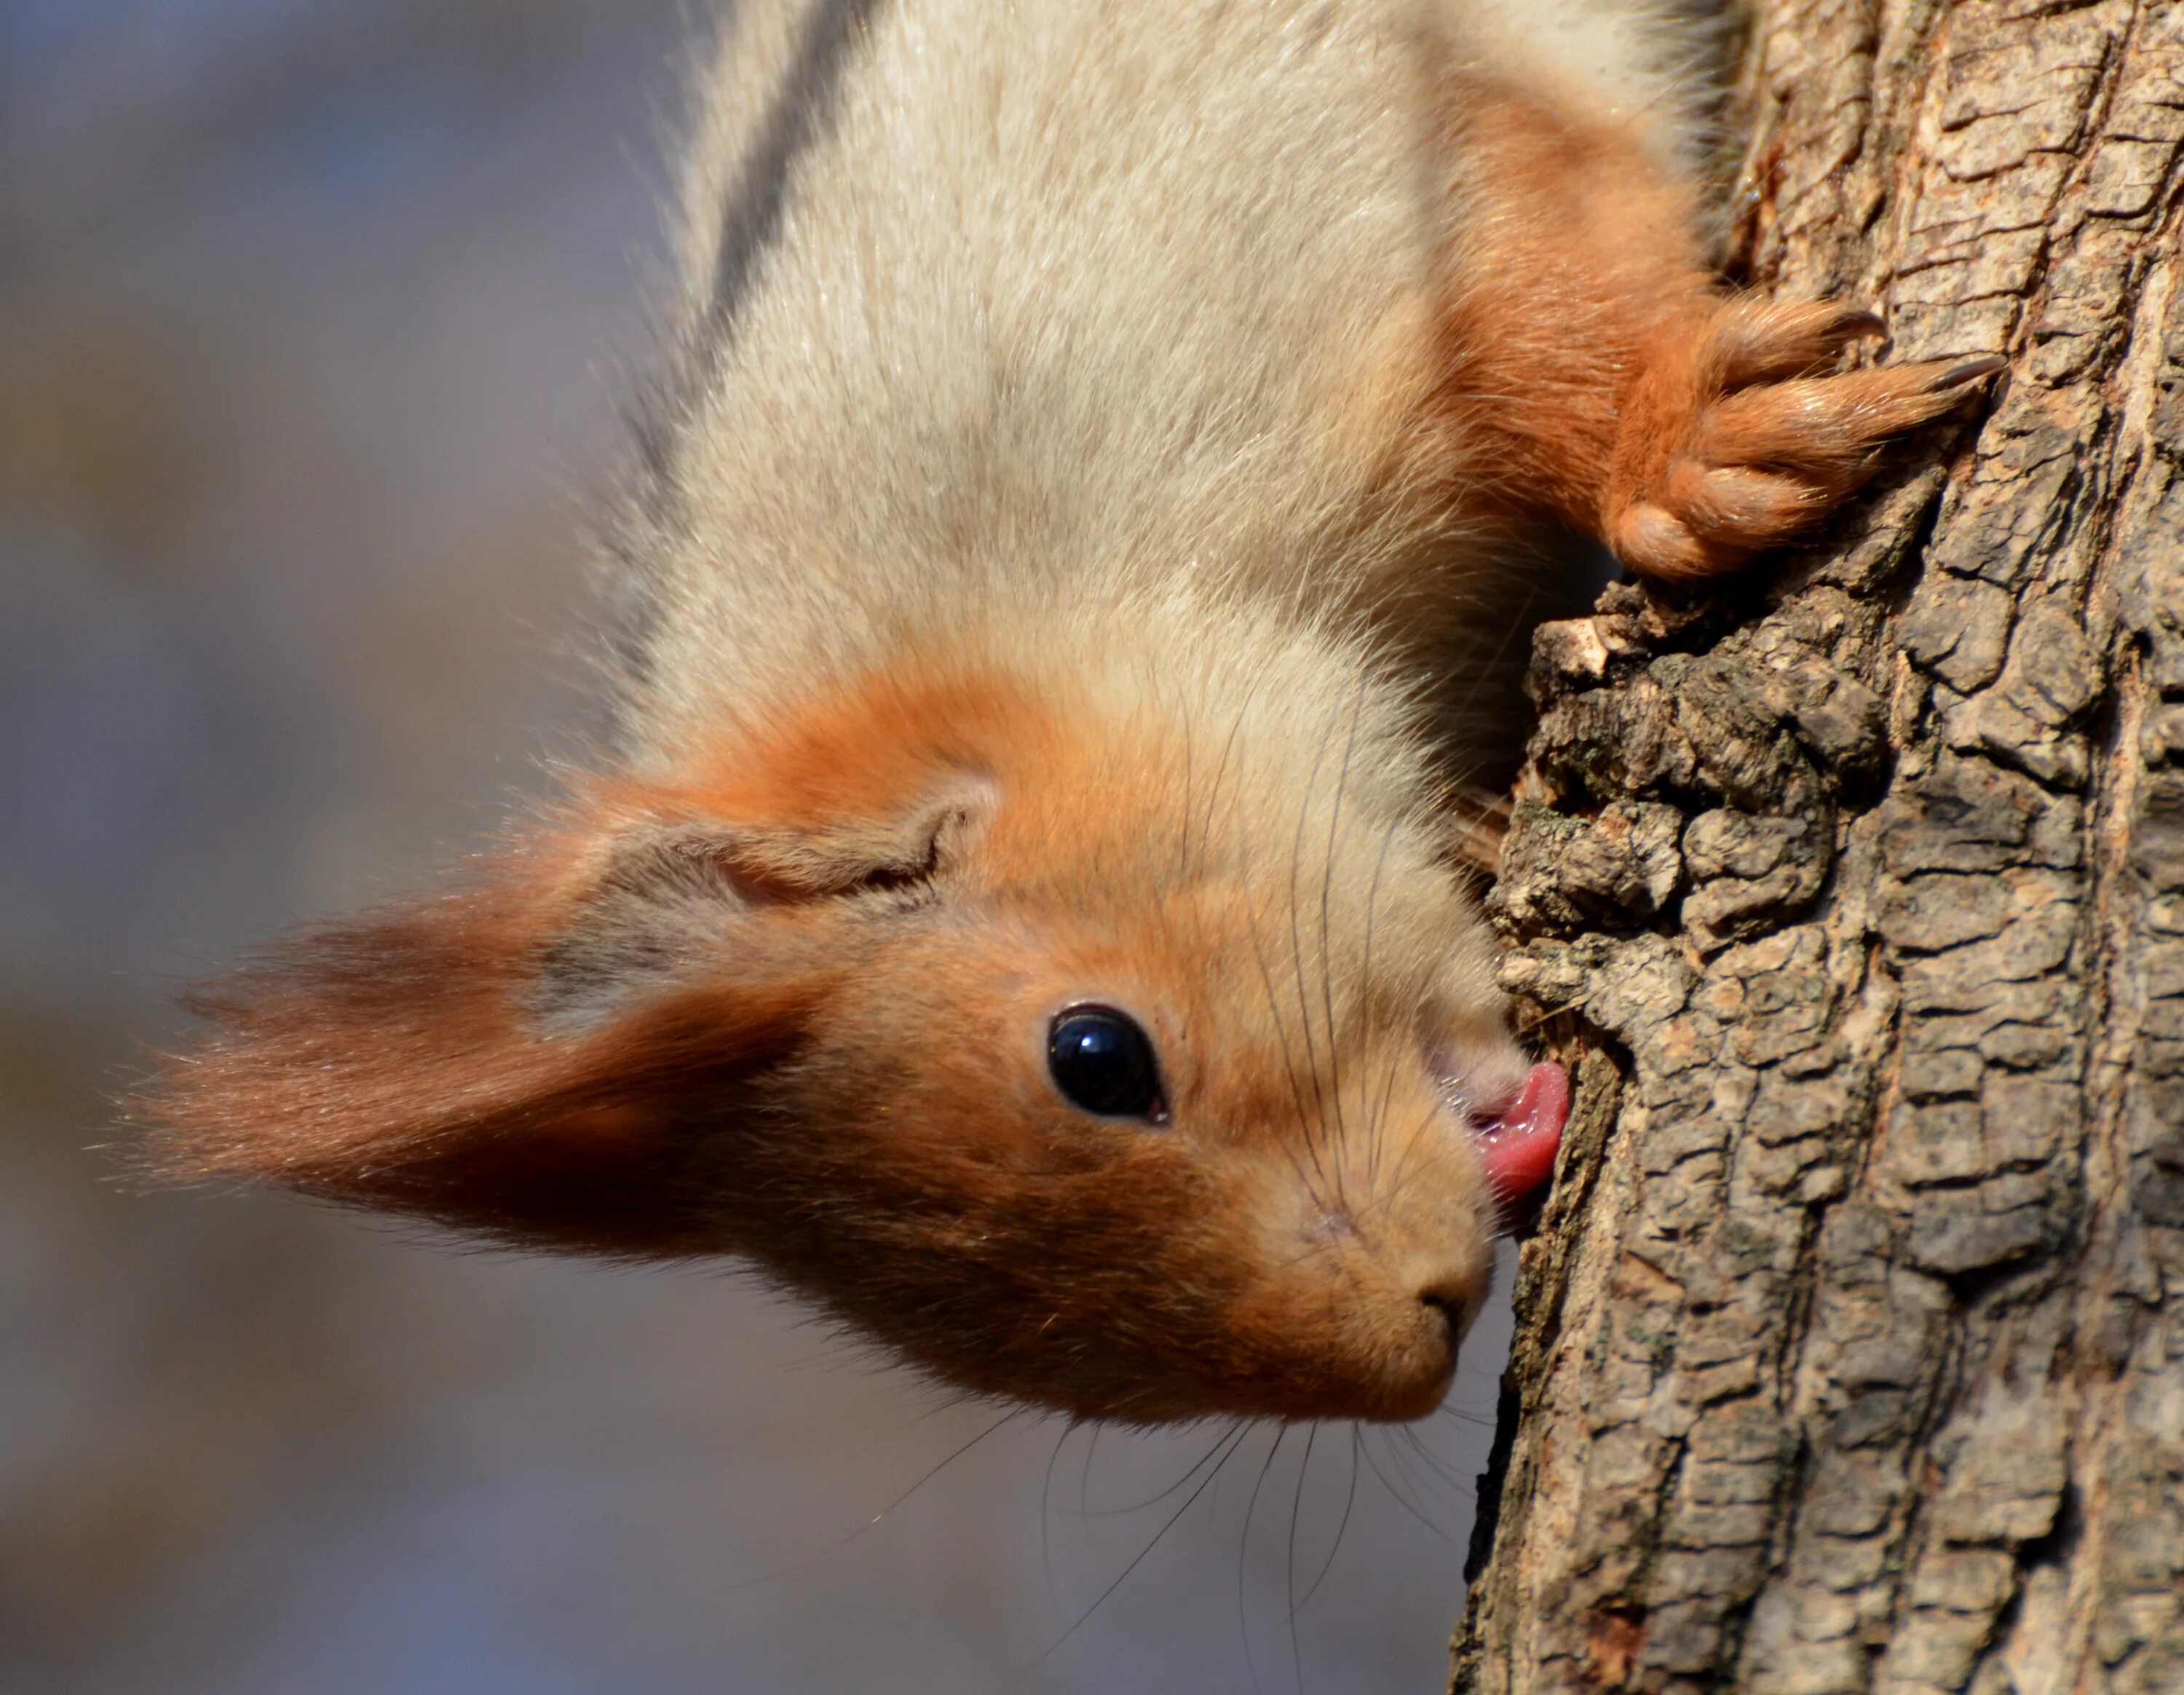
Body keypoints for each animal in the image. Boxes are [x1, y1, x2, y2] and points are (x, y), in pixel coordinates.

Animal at [145, 0, 2001, 1433]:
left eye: (1096, 1055)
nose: (1415, 1327)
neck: (1013, 610)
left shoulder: (1256, 215)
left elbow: (1529, 257)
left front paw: (1688, 449)